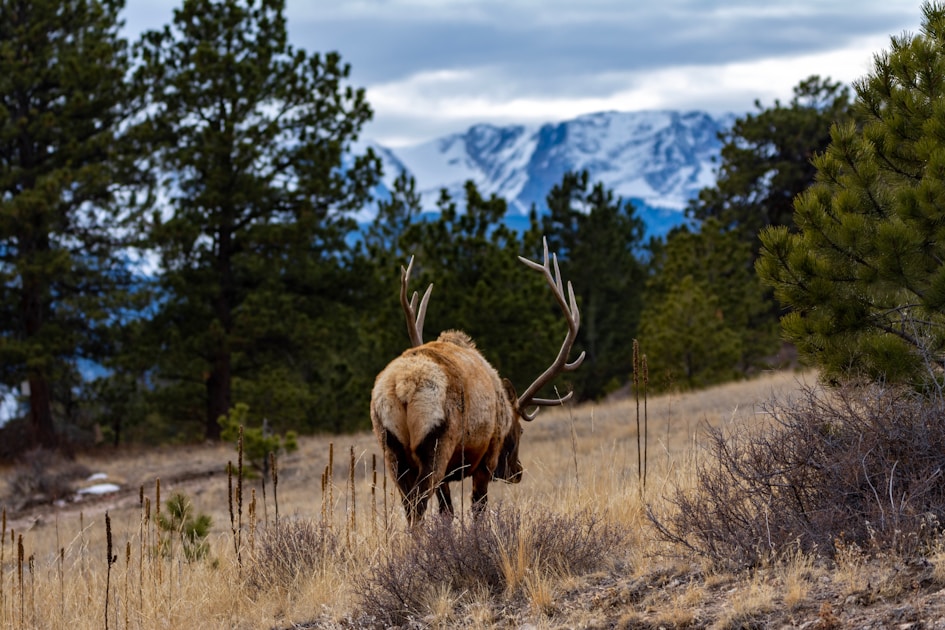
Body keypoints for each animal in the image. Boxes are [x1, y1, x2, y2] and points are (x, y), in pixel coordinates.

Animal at [370, 238, 584, 527]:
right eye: (519, 432)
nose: (517, 471)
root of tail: (402, 387)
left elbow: (447, 513)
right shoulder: (486, 459)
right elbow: (478, 511)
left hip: (391, 447)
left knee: (410, 506)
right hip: (438, 442)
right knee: (419, 506)